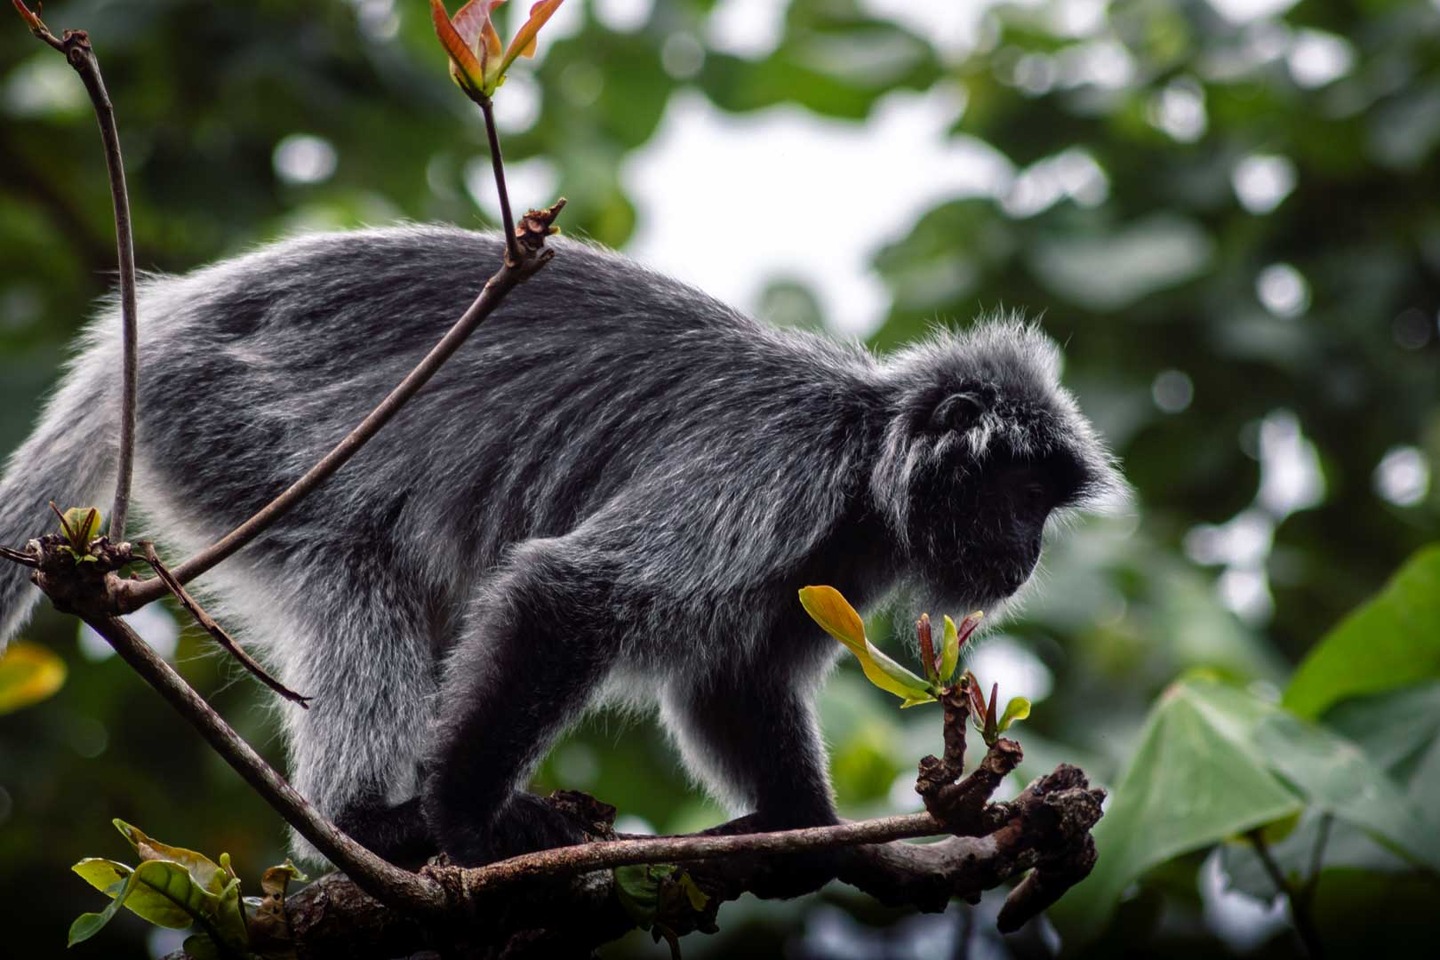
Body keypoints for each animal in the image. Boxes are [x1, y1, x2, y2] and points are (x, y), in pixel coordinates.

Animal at [0, 225, 1123, 871]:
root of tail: (146, 331)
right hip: (227, 424)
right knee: (363, 571)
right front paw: (466, 819)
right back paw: (371, 826)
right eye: (1023, 496)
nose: (1027, 552)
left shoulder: (827, 558)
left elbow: (735, 676)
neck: (862, 455)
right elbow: (570, 589)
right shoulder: (776, 464)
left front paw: (796, 829)